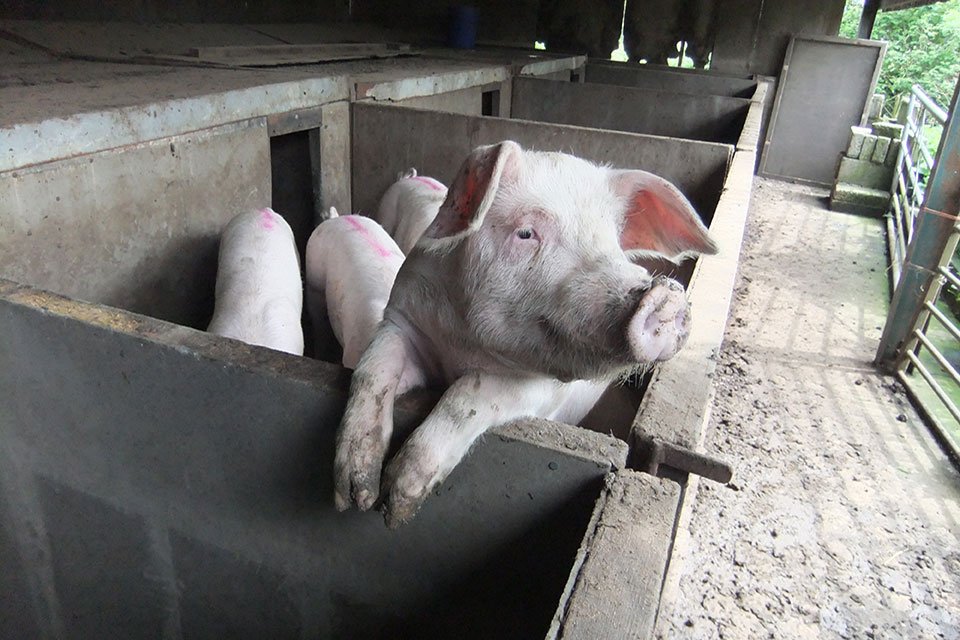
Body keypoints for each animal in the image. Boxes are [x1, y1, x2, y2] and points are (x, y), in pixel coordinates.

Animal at [334, 141, 717, 527]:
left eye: (613, 244)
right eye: (525, 233)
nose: (665, 297)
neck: (464, 342)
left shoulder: (541, 388)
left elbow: (468, 395)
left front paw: (397, 506)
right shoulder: (402, 321)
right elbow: (372, 369)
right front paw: (357, 496)